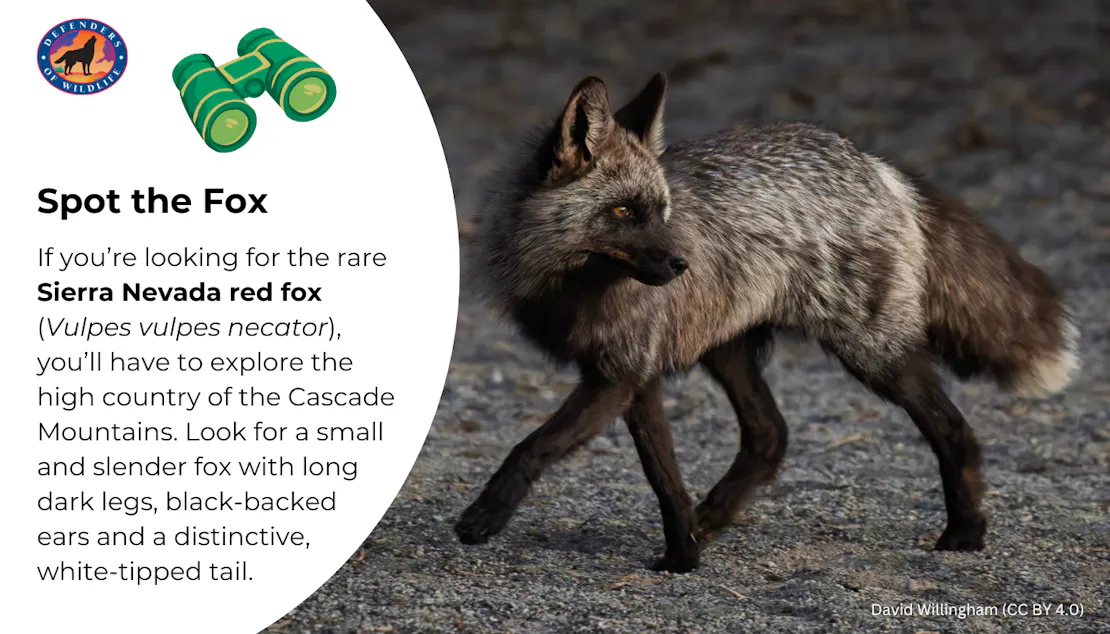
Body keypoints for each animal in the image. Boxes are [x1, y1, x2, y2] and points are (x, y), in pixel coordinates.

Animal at [456, 73, 1079, 573]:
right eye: (624, 212)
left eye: (660, 211)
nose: (681, 265)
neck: (574, 287)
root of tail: (875, 165)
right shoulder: (633, 376)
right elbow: (665, 478)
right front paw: (683, 555)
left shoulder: (619, 375)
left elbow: (533, 446)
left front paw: (484, 516)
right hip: (727, 351)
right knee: (770, 435)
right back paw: (710, 519)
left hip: (874, 355)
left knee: (954, 429)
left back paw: (966, 532)